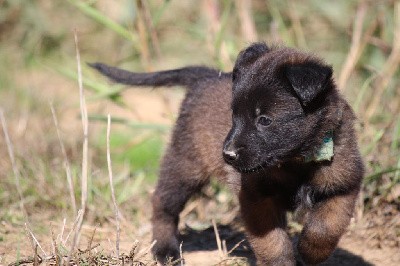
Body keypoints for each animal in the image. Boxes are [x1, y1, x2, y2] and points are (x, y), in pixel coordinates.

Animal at [91, 42, 366, 264]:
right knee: (162, 202)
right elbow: (273, 243)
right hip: (185, 164)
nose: (227, 155)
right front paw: (281, 260)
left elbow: (326, 226)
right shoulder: (255, 198)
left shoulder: (343, 185)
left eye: (264, 120)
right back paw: (165, 250)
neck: (294, 163)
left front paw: (311, 251)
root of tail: (207, 77)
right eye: (234, 115)